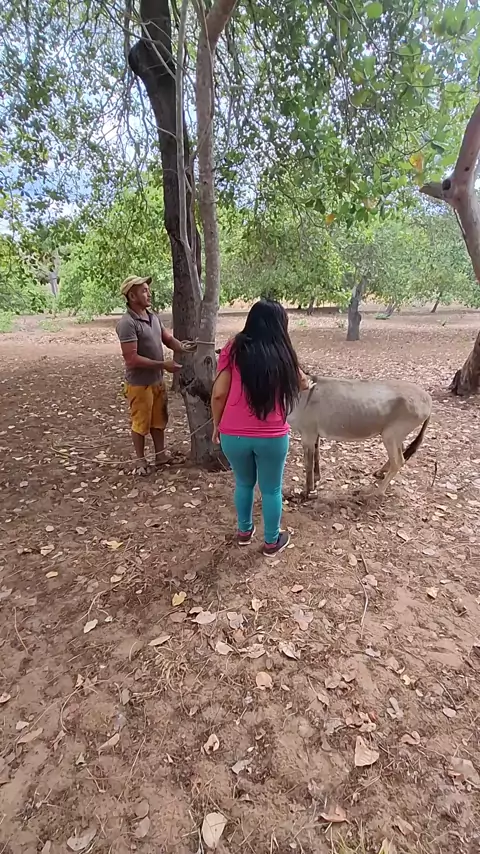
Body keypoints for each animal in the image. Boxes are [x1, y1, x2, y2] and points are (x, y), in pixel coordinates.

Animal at [287, 377, 432, 497]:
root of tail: (428, 399)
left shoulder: (308, 434)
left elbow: (308, 464)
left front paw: (307, 492)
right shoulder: (314, 435)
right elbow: (316, 457)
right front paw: (317, 479)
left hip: (391, 435)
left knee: (398, 462)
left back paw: (376, 493)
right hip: (395, 435)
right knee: (400, 451)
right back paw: (380, 472)